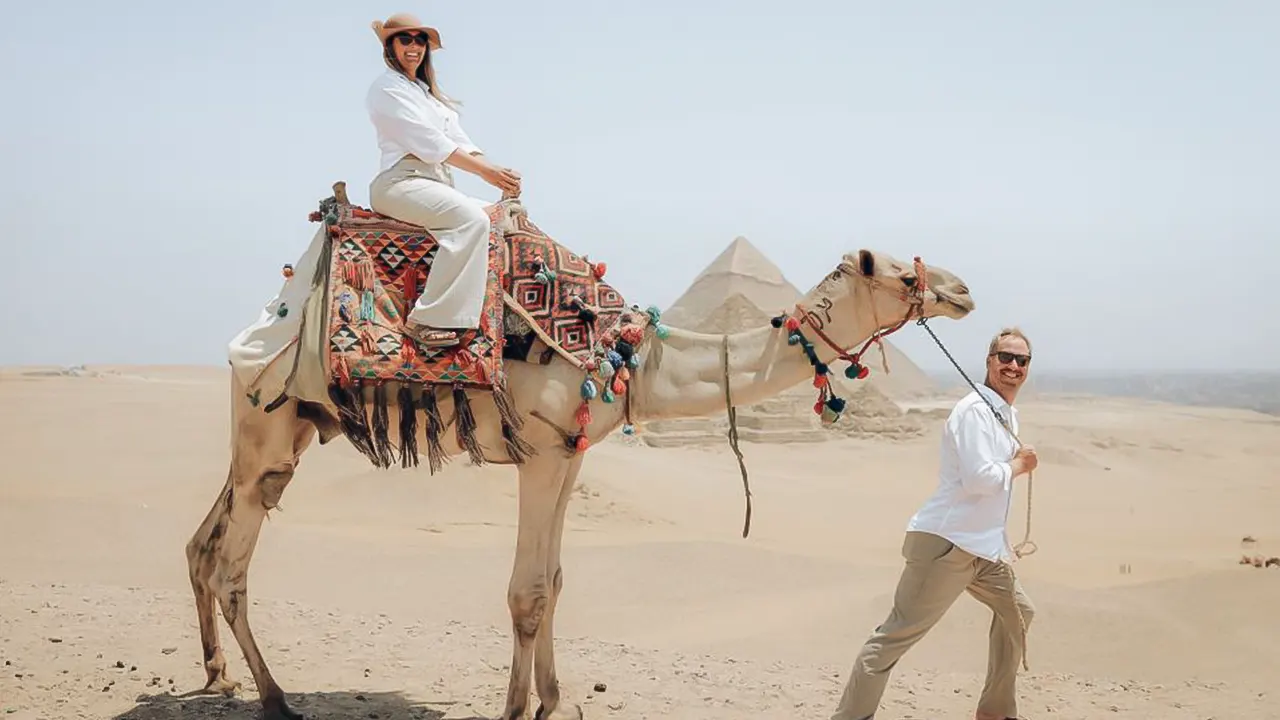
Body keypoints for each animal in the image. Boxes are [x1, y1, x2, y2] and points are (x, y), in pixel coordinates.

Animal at [185, 193, 972, 712]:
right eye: (905, 276)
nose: (961, 288)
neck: (634, 358)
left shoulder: (572, 453)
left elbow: (556, 582)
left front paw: (556, 700)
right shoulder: (539, 454)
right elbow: (526, 594)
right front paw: (515, 709)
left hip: (276, 430)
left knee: (204, 542)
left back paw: (221, 674)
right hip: (267, 422)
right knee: (231, 565)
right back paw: (275, 697)